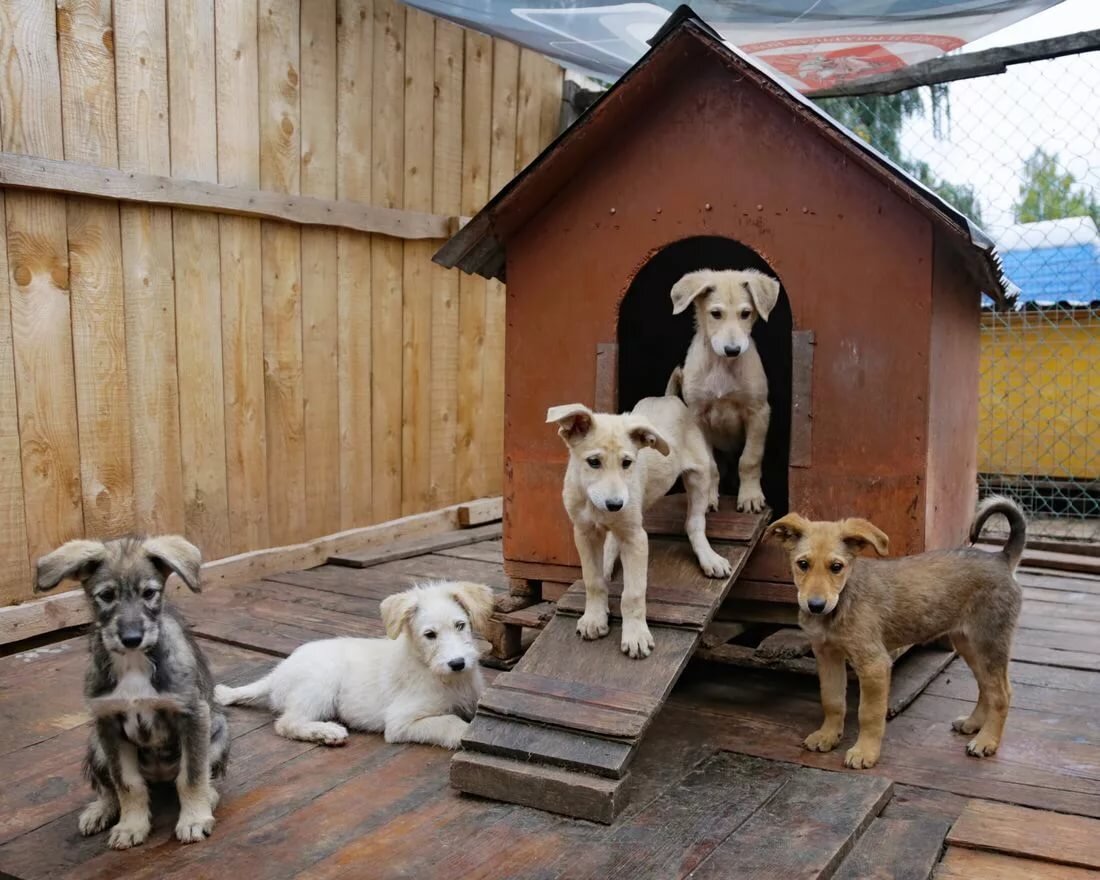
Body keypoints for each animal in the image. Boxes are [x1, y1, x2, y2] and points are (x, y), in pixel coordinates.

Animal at [35, 532, 228, 849]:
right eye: (106, 596)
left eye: (149, 593)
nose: (132, 638)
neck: (133, 663)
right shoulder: (109, 723)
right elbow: (127, 784)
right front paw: (131, 825)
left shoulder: (192, 715)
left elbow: (191, 776)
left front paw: (194, 819)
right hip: (96, 744)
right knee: (109, 788)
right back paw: (100, 810)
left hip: (219, 729)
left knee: (201, 775)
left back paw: (208, 797)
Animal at [214, 580, 490, 748]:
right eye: (430, 635)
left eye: (460, 625)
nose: (458, 663)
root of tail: (277, 673)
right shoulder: (401, 721)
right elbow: (450, 722)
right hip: (321, 682)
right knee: (286, 723)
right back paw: (327, 732)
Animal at [547, 398, 734, 660]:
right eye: (593, 462)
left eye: (627, 463)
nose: (615, 504)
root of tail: (667, 398)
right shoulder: (584, 533)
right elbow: (592, 580)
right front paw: (594, 618)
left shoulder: (636, 538)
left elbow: (633, 593)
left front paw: (635, 635)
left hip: (699, 474)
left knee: (695, 523)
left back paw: (709, 558)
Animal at [660, 269, 783, 514]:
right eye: (716, 314)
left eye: (745, 313)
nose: (732, 350)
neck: (722, 365)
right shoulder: (698, 418)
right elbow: (709, 465)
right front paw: (707, 497)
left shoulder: (758, 413)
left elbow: (750, 459)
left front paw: (750, 497)